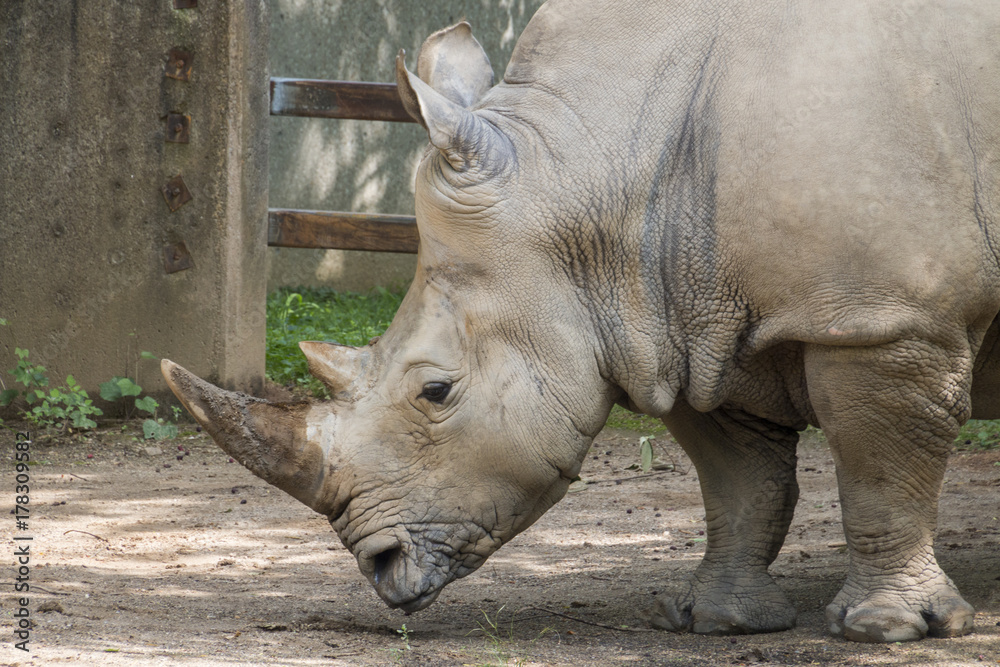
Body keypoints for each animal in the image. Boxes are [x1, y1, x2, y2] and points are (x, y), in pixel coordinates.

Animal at [162, 0, 1000, 643]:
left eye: (436, 391)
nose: (379, 566)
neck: (597, 167)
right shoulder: (680, 323)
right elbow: (740, 480)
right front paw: (720, 621)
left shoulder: (884, 319)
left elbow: (879, 472)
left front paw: (886, 629)